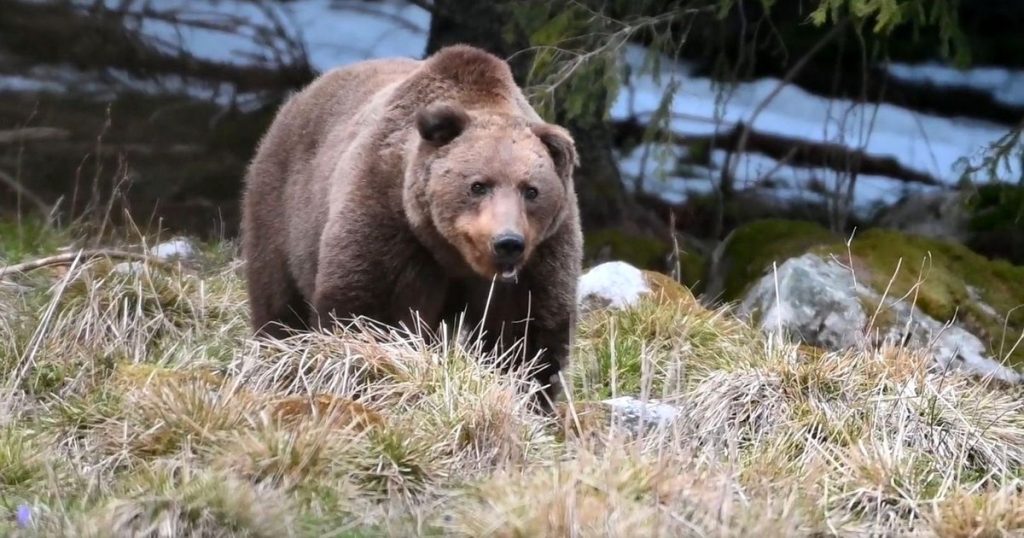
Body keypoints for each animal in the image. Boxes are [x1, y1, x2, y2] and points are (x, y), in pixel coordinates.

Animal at [240, 44, 583, 412]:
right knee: (279, 304)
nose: (508, 242)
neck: (452, 255)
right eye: (478, 185)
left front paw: (527, 397)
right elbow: (369, 311)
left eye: (531, 190)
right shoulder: (390, 222)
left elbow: (523, 336)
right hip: (283, 212)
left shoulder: (541, 255)